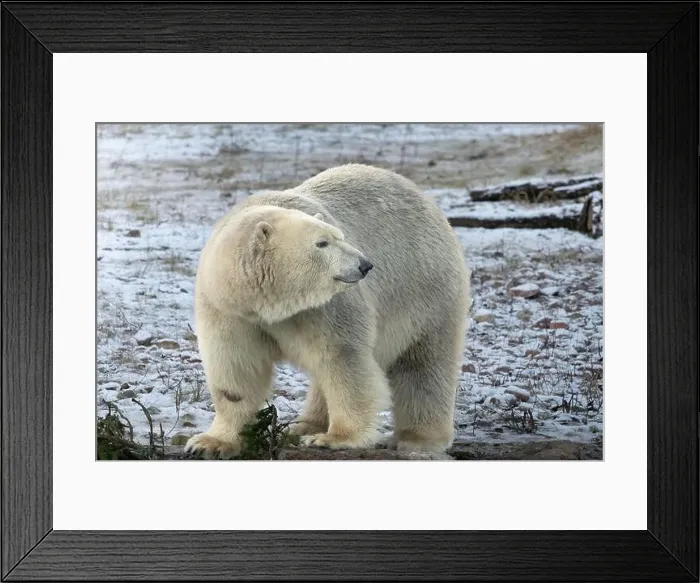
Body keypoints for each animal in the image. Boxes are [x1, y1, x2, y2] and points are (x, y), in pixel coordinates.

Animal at [185, 164, 471, 459]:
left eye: (339, 236)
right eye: (322, 243)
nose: (365, 264)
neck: (269, 305)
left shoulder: (324, 307)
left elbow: (343, 359)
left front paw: (335, 438)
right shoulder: (229, 311)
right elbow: (236, 369)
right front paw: (210, 443)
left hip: (424, 290)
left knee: (423, 364)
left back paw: (418, 438)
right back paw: (303, 426)